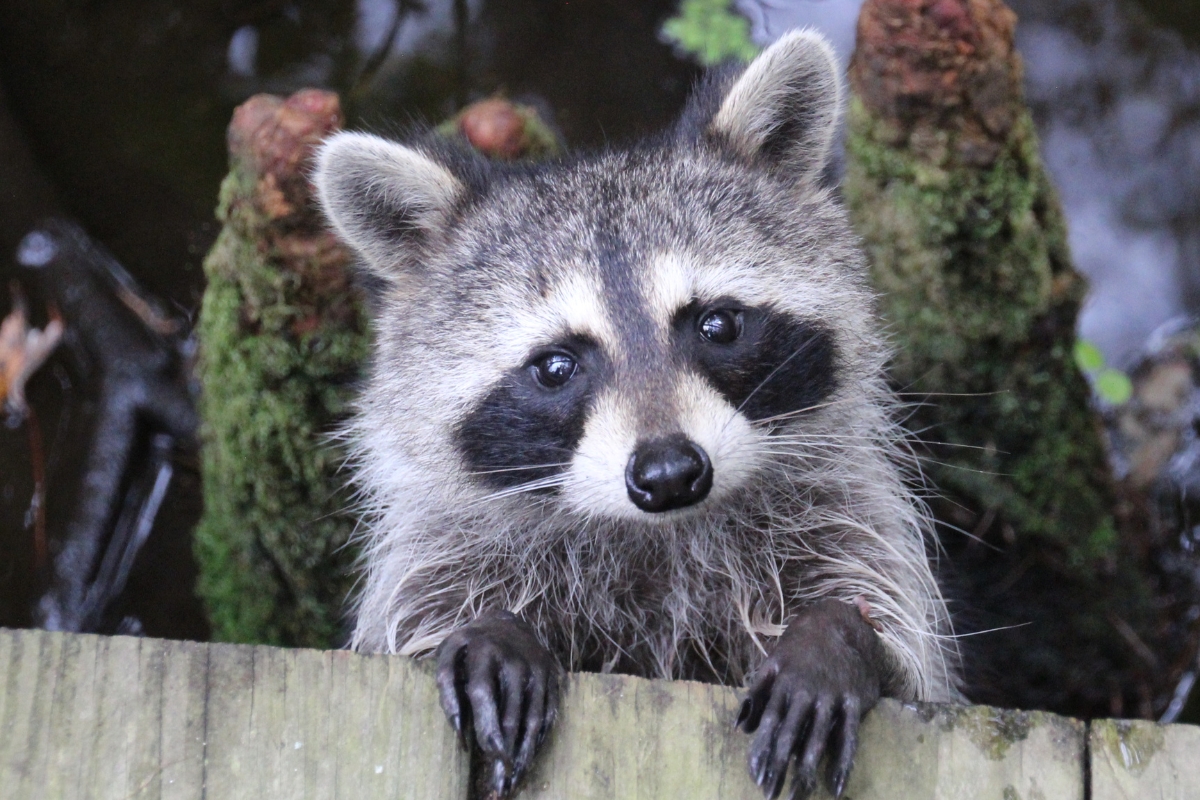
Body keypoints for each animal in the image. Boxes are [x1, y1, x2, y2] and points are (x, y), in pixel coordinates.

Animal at [314, 29, 960, 800]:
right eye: (556, 367)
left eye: (718, 325)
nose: (670, 472)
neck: (659, 538)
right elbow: (420, 614)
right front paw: (491, 630)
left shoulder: (838, 515)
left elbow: (902, 650)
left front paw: (835, 635)